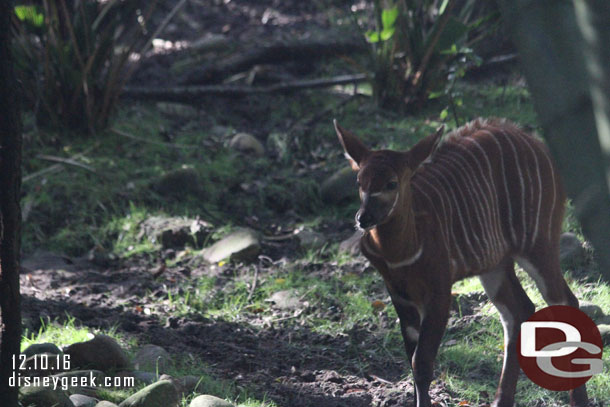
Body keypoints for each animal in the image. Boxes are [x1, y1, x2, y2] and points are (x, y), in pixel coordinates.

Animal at [334, 118, 588, 407]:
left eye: (391, 183)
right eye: (359, 181)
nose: (363, 218)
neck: (402, 252)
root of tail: (535, 143)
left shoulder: (439, 291)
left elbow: (421, 362)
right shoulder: (398, 293)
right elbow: (412, 357)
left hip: (538, 246)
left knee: (565, 300)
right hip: (495, 265)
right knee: (519, 310)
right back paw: (500, 401)